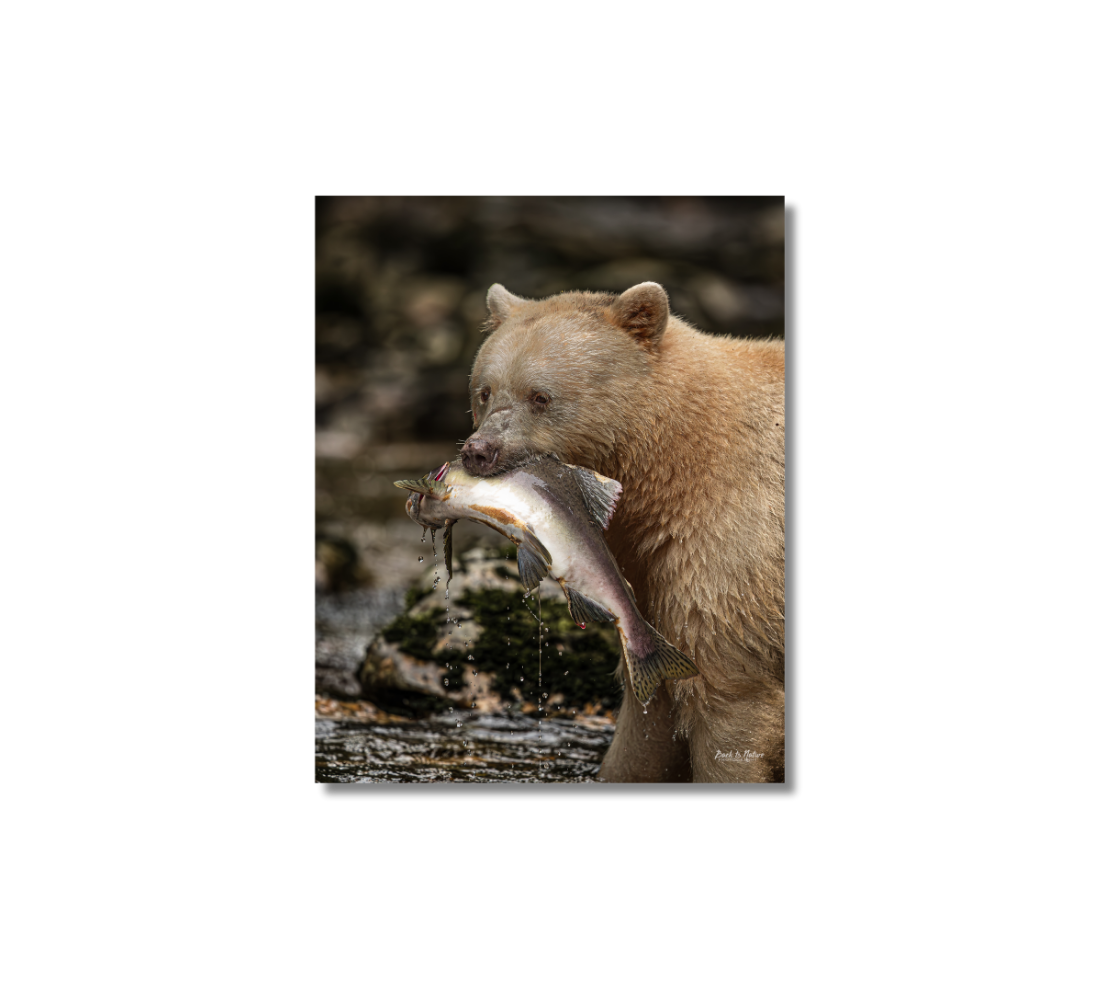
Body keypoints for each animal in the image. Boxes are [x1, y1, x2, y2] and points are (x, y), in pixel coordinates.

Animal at [461, 282, 784, 782]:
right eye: (484, 390)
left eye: (540, 396)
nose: (480, 451)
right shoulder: (648, 574)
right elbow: (650, 712)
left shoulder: (731, 549)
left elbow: (729, 693)